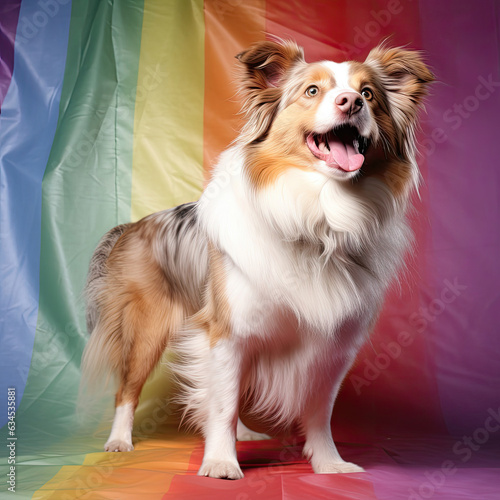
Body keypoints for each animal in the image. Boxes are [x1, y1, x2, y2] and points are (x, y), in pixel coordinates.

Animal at [82, 38, 434, 476]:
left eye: (368, 94)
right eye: (312, 91)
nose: (351, 102)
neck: (323, 216)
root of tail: (131, 226)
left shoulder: (334, 346)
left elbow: (318, 410)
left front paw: (329, 464)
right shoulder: (227, 332)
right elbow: (223, 404)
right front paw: (220, 462)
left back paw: (246, 434)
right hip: (146, 330)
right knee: (128, 390)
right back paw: (120, 441)